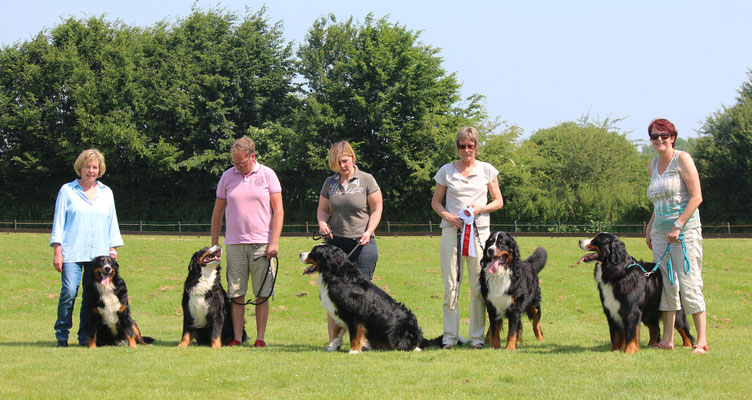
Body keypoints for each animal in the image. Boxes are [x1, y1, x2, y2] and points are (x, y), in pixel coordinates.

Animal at [302, 244, 440, 354]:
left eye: (313, 252)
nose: (300, 254)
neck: (337, 275)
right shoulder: (338, 312)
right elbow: (336, 332)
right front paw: (332, 347)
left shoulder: (354, 315)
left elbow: (354, 335)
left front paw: (354, 351)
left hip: (395, 332)